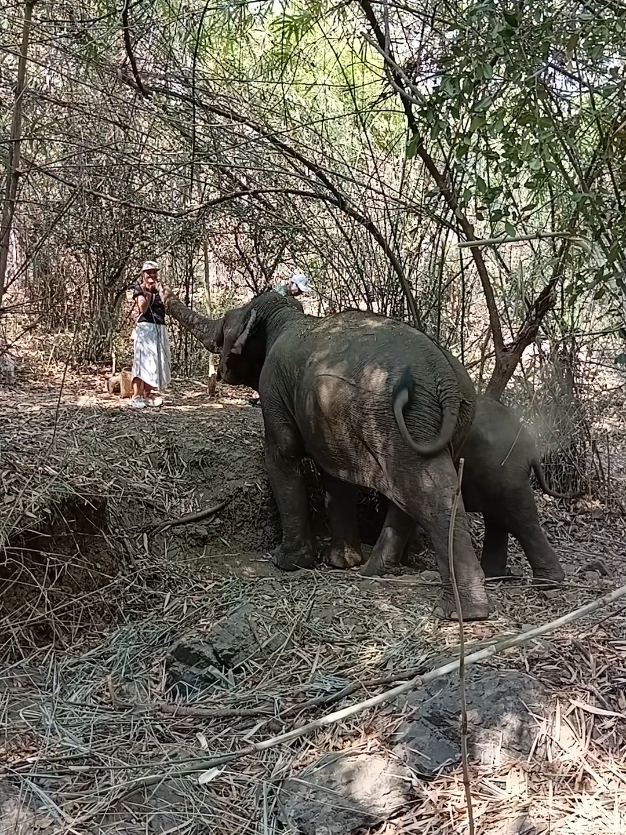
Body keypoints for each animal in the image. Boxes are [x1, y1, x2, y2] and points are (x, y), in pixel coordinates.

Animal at [161, 288, 489, 620]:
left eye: (224, 324)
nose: (160, 291)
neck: (286, 315)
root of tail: (445, 379)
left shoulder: (273, 386)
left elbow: (282, 454)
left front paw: (286, 562)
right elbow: (335, 476)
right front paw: (341, 562)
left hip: (400, 422)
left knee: (426, 490)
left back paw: (462, 612)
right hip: (446, 421)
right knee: (415, 491)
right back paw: (374, 571)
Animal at [329, 396, 568, 585]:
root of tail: (531, 447)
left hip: (504, 471)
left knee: (519, 518)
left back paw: (547, 582)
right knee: (499, 518)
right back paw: (496, 576)